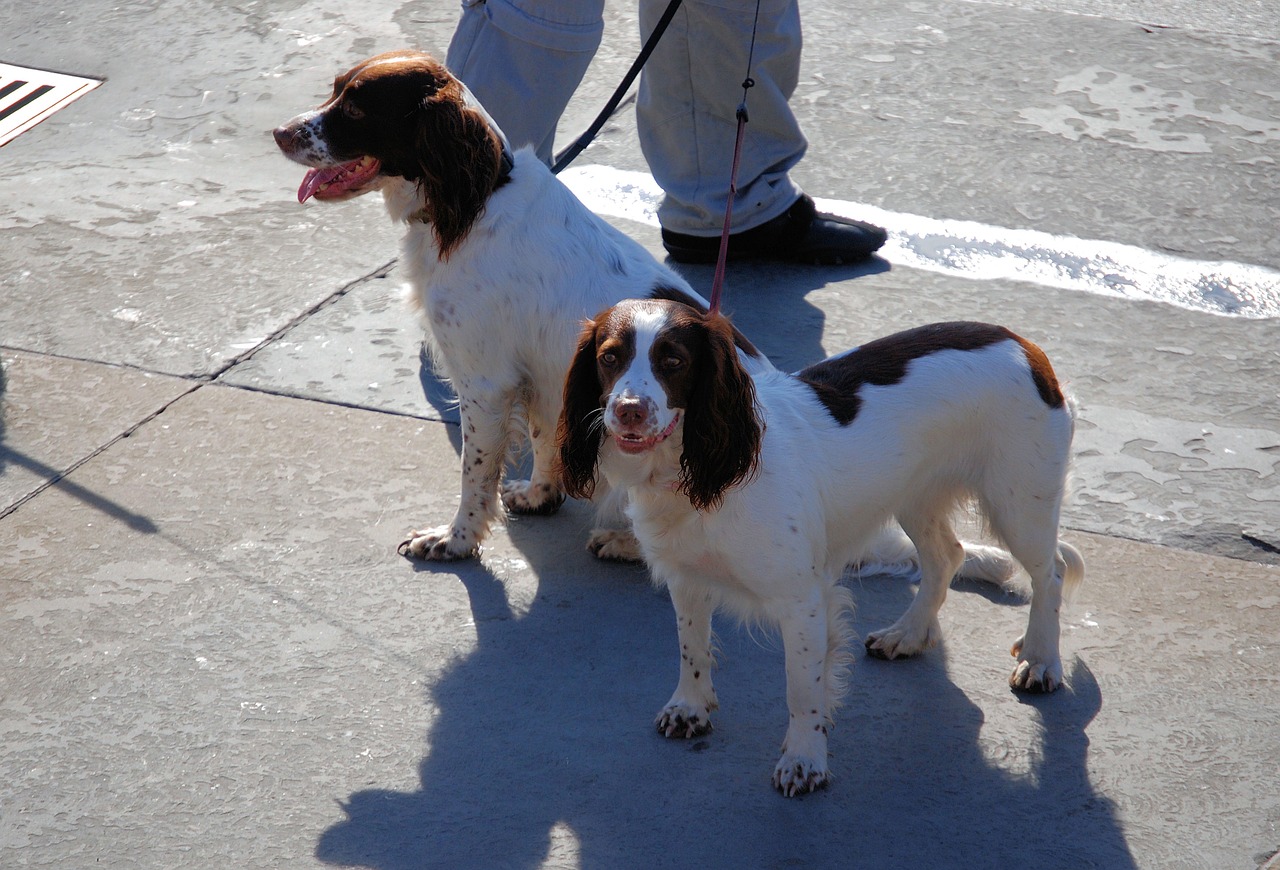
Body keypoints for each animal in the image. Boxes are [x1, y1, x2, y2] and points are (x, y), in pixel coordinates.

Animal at [271, 50, 768, 560]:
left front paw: (456, 539)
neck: (476, 199)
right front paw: (538, 495)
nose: (280, 133)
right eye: (335, 90)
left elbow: (475, 473)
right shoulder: (545, 381)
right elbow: (544, 438)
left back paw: (625, 542)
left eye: (355, 109)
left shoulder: (485, 383)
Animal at [555, 299, 1085, 793]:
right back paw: (908, 634)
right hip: (915, 495)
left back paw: (1041, 659)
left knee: (1051, 573)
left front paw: (805, 760)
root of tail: (1025, 346)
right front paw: (690, 706)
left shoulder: (803, 601)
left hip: (1020, 505)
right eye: (609, 357)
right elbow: (692, 649)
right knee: (946, 556)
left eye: (673, 361)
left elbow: (802, 689)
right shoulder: (687, 579)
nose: (628, 410)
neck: (697, 475)